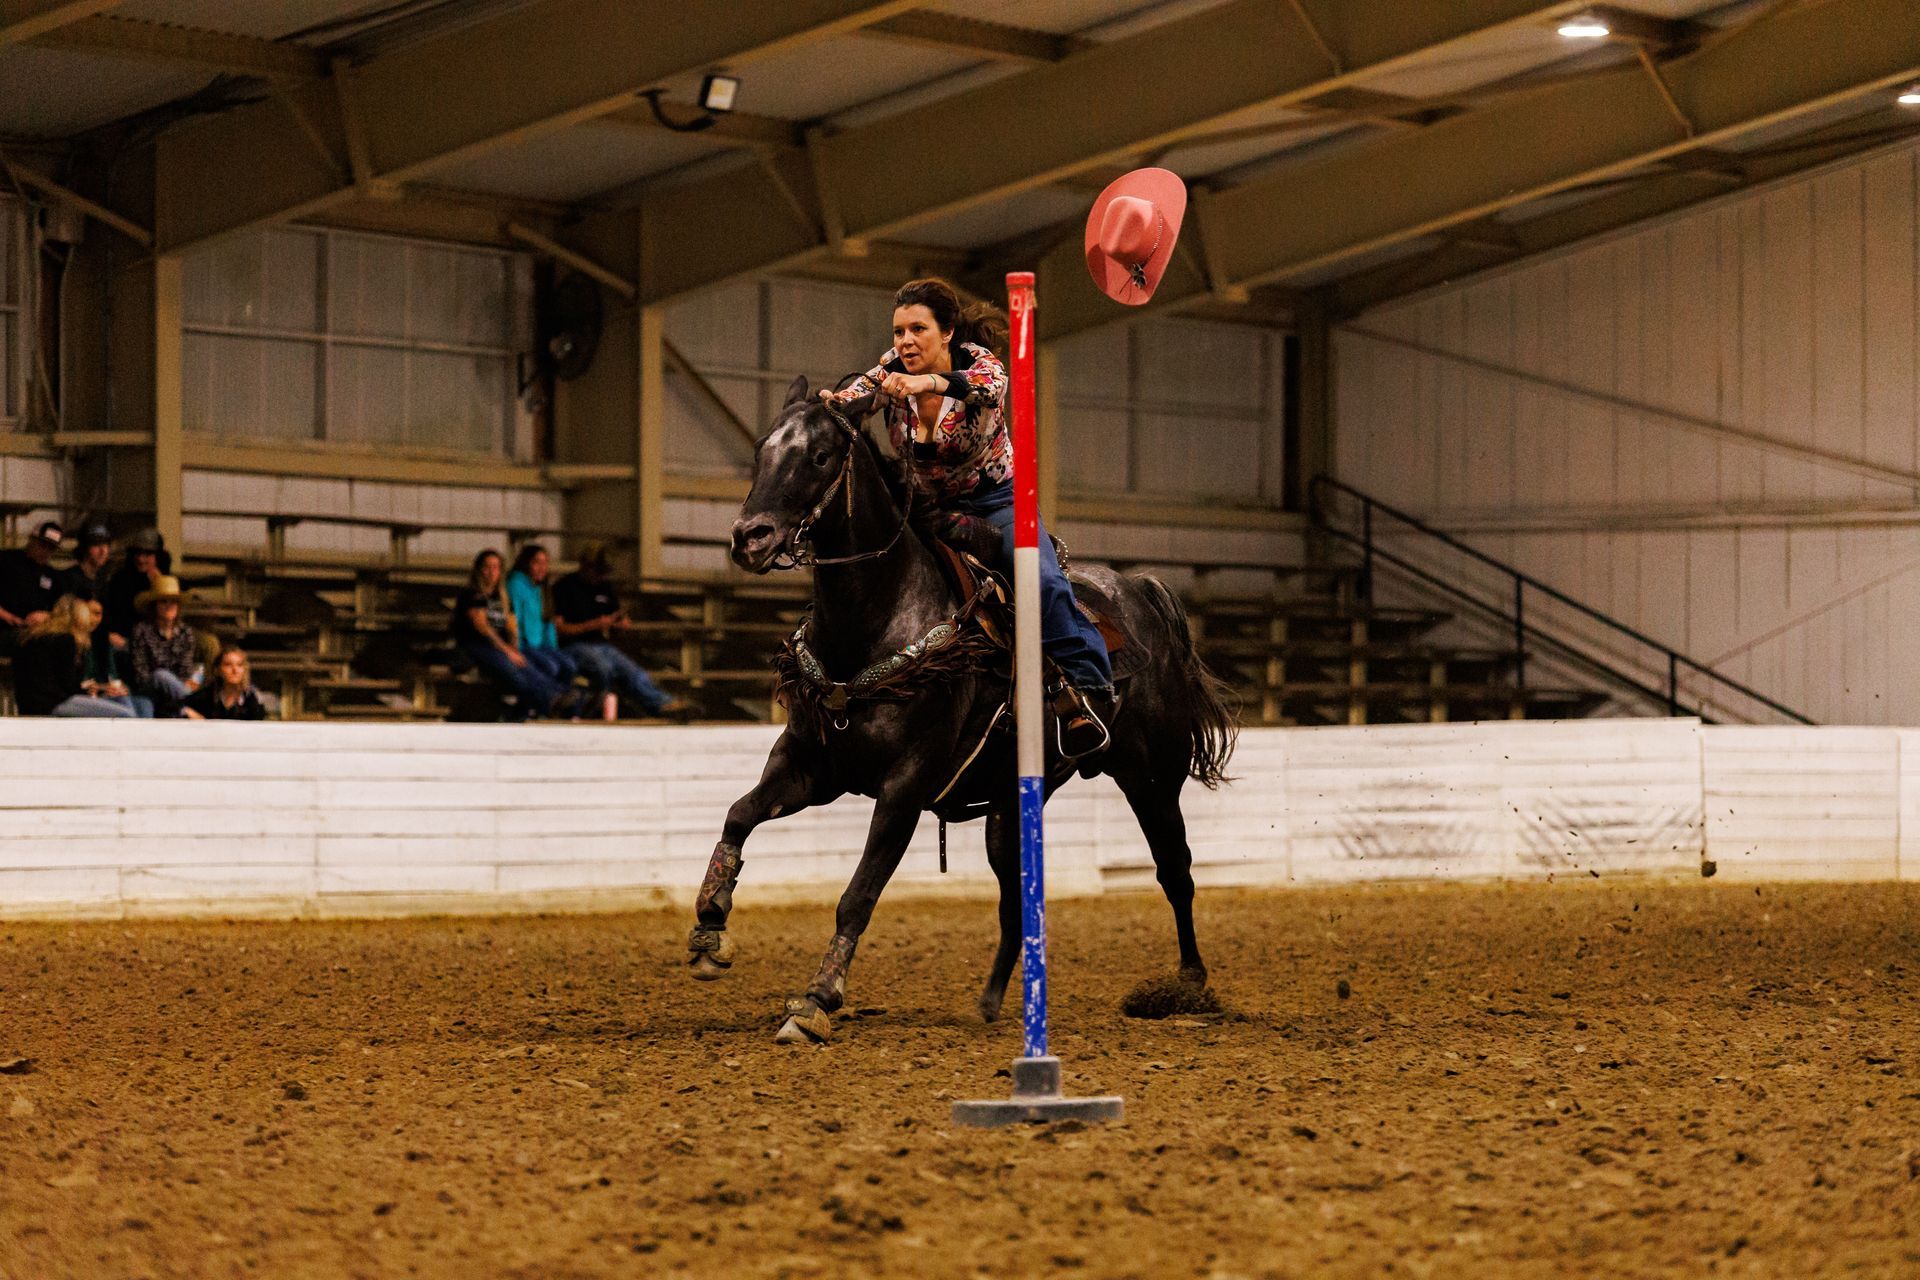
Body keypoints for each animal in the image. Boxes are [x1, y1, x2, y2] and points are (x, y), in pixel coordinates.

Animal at [686, 375, 1238, 1044]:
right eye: (761, 449)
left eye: (818, 456)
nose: (750, 537)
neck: (877, 617)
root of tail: (1140, 592)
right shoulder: (811, 766)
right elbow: (739, 815)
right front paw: (709, 928)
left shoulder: (904, 786)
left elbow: (858, 894)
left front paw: (816, 1000)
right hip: (1011, 804)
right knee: (1016, 897)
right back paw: (994, 1001)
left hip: (1152, 775)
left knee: (1174, 869)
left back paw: (1187, 984)